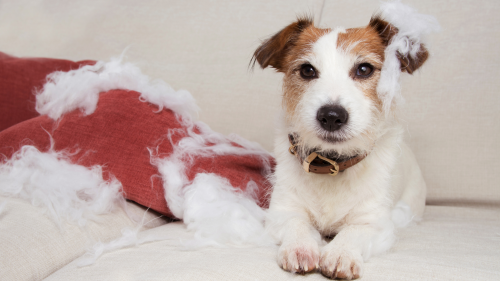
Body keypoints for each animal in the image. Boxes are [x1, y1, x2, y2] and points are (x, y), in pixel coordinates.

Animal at [252, 3, 436, 278]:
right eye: (307, 70)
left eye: (364, 69)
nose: (331, 116)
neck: (332, 165)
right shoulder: (283, 212)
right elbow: (297, 224)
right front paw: (300, 247)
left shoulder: (375, 223)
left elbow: (354, 231)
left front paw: (340, 253)